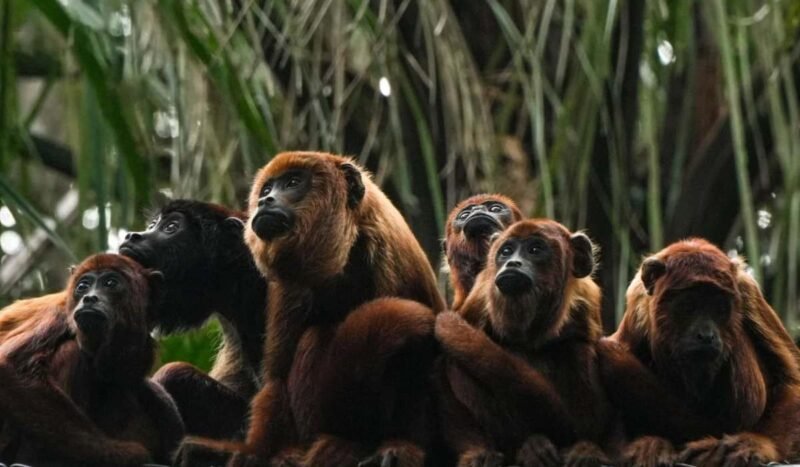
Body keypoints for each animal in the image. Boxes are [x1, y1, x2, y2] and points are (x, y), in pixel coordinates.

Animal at [0, 254, 184, 466]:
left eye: (110, 283)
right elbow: (12, 365)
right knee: (71, 351)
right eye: (83, 286)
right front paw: (125, 454)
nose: (89, 298)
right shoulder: (58, 314)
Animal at [174, 151, 445, 467]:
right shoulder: (289, 286)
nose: (265, 200)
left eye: (292, 183)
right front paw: (255, 452)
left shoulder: (389, 259)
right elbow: (277, 377)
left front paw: (400, 448)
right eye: (267, 189)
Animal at [434, 219, 614, 467]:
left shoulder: (586, 300)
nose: (512, 263)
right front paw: (480, 451)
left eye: (535, 250)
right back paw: (528, 446)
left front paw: (588, 446)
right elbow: (451, 358)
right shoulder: (479, 300)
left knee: (576, 349)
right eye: (506, 251)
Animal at [600, 238, 800, 466]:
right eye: (688, 306)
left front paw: (759, 444)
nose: (706, 335)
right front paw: (648, 444)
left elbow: (791, 379)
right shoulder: (638, 301)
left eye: (719, 307)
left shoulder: (746, 289)